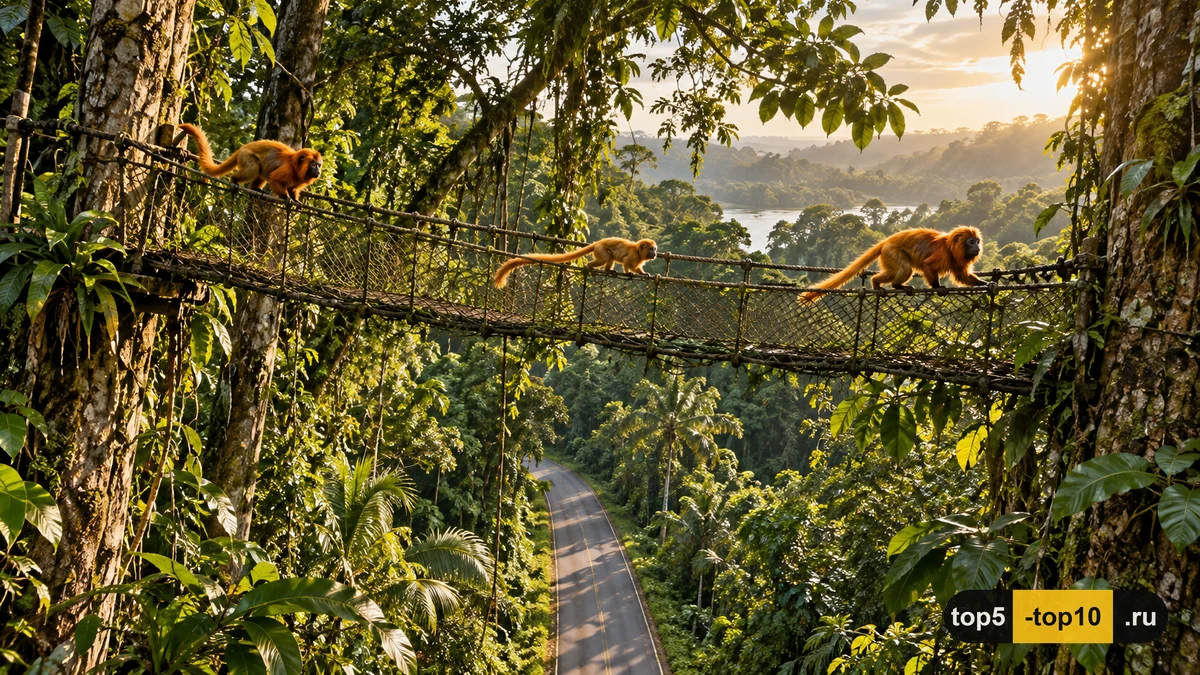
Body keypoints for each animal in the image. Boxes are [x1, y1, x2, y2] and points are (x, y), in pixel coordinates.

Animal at [177, 123, 322, 202]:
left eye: (319, 165)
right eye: (313, 165)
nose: (319, 171)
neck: (297, 168)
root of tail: (241, 148)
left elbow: (292, 189)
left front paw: (295, 199)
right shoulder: (288, 170)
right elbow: (275, 178)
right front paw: (286, 198)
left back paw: (254, 188)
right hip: (245, 156)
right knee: (254, 167)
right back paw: (234, 180)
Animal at [494, 237, 658, 288]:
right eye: (651, 249)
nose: (655, 253)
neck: (638, 250)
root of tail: (598, 242)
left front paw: (644, 273)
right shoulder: (633, 255)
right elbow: (626, 261)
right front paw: (629, 273)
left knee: (609, 258)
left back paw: (607, 270)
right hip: (600, 249)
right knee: (606, 258)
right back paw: (590, 267)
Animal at [800, 226, 985, 301]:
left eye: (977, 241)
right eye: (971, 242)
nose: (977, 247)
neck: (950, 247)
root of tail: (886, 241)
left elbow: (962, 276)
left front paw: (984, 284)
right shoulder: (943, 254)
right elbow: (928, 266)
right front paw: (937, 287)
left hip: (887, 255)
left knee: (902, 269)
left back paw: (878, 282)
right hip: (891, 252)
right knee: (905, 268)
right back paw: (890, 284)